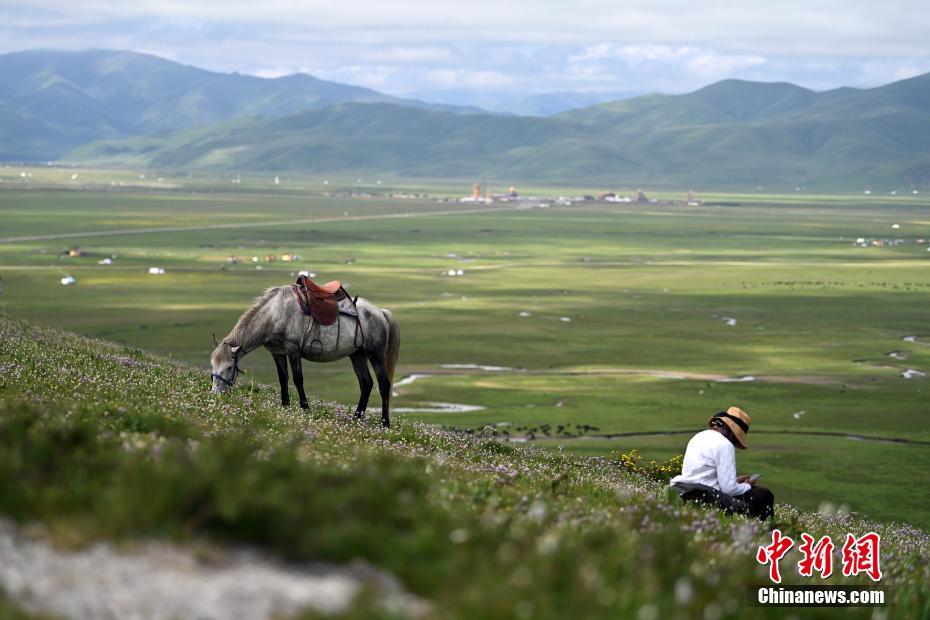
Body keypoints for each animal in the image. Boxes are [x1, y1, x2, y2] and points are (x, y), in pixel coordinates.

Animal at [209, 285, 400, 427]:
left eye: (229, 367)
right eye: (212, 365)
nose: (216, 394)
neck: (274, 315)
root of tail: (380, 312)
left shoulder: (293, 350)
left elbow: (297, 379)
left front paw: (305, 408)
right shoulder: (277, 352)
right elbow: (283, 378)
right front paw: (285, 405)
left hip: (375, 354)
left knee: (383, 384)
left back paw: (385, 423)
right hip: (357, 355)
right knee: (366, 383)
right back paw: (356, 418)